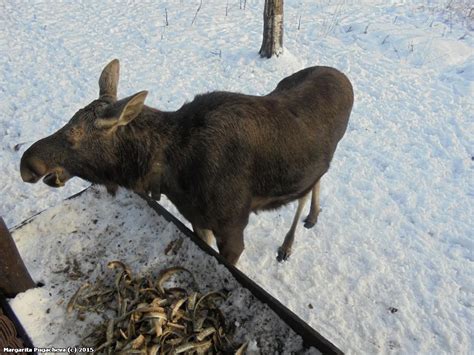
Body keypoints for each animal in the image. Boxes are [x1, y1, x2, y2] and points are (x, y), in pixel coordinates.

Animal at [20, 59, 352, 264]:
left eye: (73, 137)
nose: (28, 164)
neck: (170, 175)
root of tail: (343, 78)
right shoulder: (197, 218)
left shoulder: (232, 226)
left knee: (311, 185)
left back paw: (290, 240)